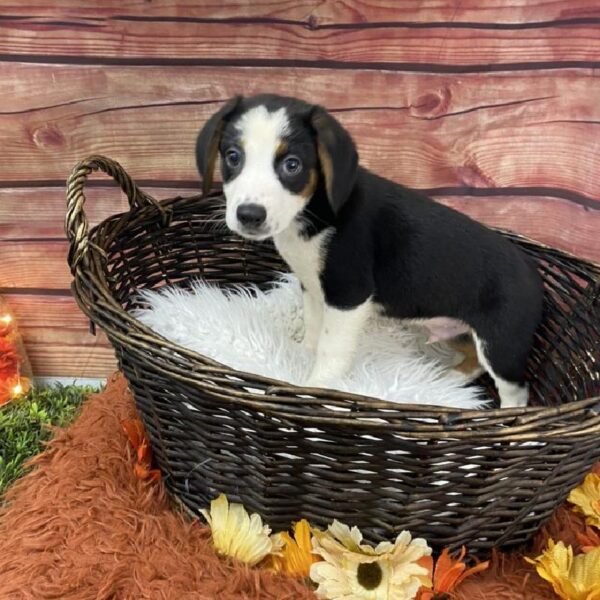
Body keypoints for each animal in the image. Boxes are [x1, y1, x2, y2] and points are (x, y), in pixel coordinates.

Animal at [196, 95, 544, 408]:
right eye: (233, 157)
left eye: (291, 165)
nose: (249, 215)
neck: (312, 212)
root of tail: (534, 275)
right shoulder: (313, 288)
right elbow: (313, 331)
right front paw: (300, 357)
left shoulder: (348, 295)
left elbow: (331, 350)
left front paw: (314, 388)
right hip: (464, 333)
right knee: (473, 362)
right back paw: (443, 382)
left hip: (500, 343)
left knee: (515, 390)